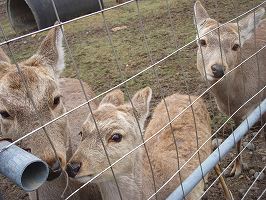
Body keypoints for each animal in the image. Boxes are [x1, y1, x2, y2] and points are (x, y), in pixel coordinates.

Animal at [193, 0, 266, 177]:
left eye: (236, 46)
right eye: (202, 41)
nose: (218, 69)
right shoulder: (236, 114)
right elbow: (236, 139)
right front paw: (235, 169)